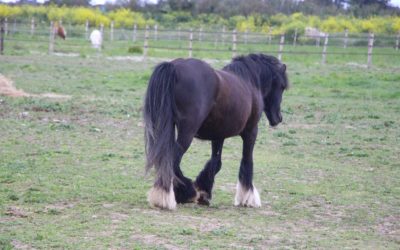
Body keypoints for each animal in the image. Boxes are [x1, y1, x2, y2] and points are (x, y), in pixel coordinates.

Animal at [144, 53, 288, 210]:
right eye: (282, 86)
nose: (278, 118)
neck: (250, 81)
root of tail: (174, 67)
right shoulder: (251, 132)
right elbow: (247, 161)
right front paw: (247, 197)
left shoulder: (219, 135)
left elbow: (215, 162)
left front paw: (204, 193)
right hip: (187, 132)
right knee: (172, 160)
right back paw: (185, 193)